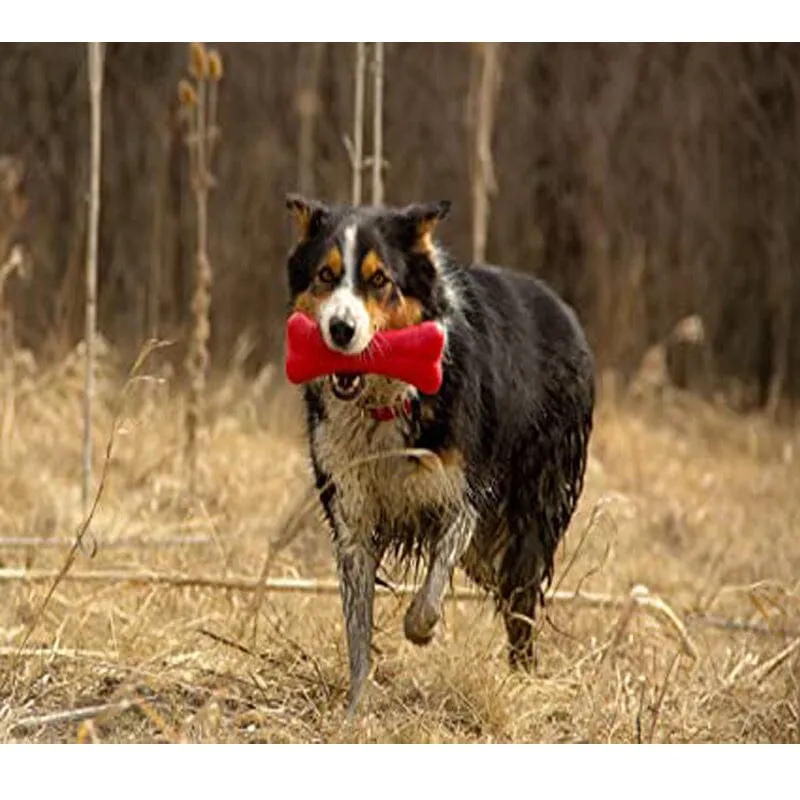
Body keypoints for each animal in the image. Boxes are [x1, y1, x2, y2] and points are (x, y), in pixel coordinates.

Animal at [282, 195, 592, 720]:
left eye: (379, 279)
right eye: (325, 275)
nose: (340, 330)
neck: (383, 402)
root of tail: (566, 313)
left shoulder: (465, 490)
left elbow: (430, 590)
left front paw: (420, 630)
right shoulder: (351, 513)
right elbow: (357, 626)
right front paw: (355, 710)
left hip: (531, 512)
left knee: (521, 598)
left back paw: (523, 677)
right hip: (489, 550)